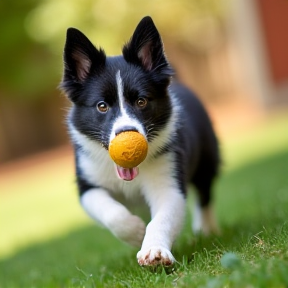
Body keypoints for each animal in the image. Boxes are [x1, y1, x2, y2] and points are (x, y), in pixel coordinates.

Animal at [59, 16, 219, 266]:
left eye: (141, 101)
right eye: (102, 106)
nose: (127, 134)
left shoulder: (168, 181)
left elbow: (162, 218)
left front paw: (155, 251)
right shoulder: (88, 184)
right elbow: (112, 212)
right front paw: (135, 233)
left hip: (207, 157)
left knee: (205, 193)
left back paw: (206, 229)